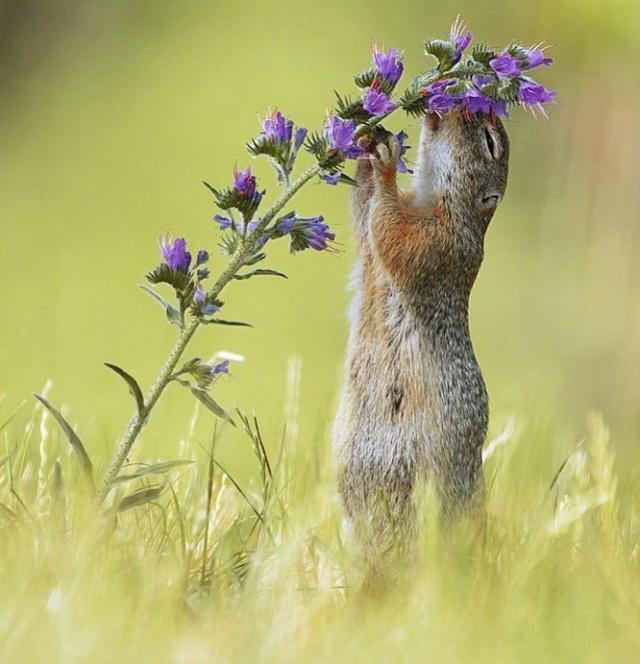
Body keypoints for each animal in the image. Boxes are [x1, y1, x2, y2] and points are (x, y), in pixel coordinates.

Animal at [336, 109, 510, 556]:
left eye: (489, 142)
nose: (454, 103)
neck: (433, 197)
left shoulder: (439, 240)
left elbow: (395, 235)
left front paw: (385, 162)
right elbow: (364, 217)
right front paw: (365, 143)